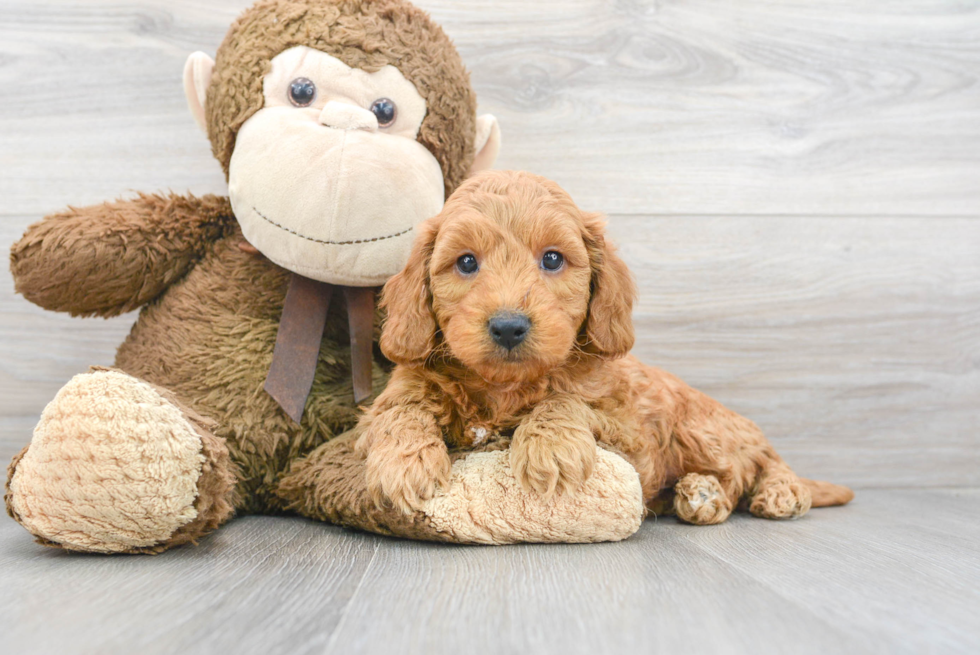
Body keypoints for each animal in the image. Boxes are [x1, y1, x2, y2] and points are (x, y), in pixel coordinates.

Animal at [356, 170, 852, 528]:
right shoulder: (401, 389)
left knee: (764, 461)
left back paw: (779, 492)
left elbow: (565, 400)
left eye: (552, 258)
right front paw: (403, 465)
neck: (504, 388)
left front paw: (550, 446)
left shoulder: (631, 432)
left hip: (705, 429)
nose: (509, 327)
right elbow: (401, 411)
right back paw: (702, 495)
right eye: (465, 263)